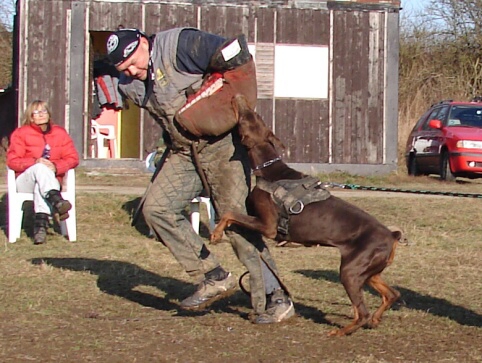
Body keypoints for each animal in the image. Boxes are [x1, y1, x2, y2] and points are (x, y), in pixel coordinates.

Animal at [210, 95, 400, 336]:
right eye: (255, 115)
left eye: (245, 118)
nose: (238, 97)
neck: (269, 170)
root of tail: (392, 236)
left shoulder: (268, 225)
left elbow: (229, 212)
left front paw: (215, 234)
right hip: (370, 272)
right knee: (392, 294)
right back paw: (375, 319)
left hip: (350, 270)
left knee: (362, 311)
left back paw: (342, 331)